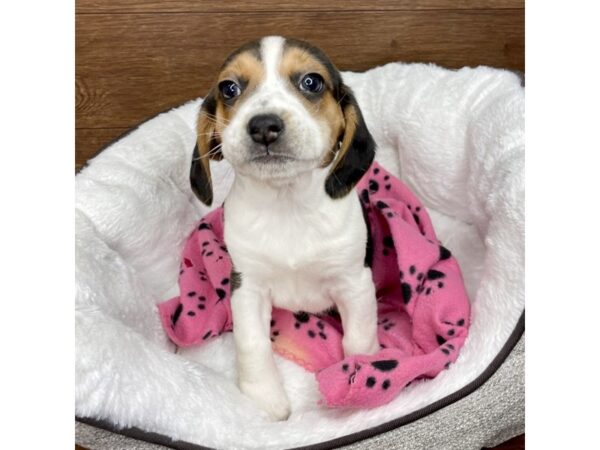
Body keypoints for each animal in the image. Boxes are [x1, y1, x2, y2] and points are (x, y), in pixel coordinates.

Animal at [191, 37, 380, 420]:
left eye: (311, 82)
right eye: (229, 88)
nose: (263, 125)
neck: (287, 203)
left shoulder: (354, 282)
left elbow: (358, 338)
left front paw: (358, 376)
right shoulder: (247, 286)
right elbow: (252, 343)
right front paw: (264, 398)